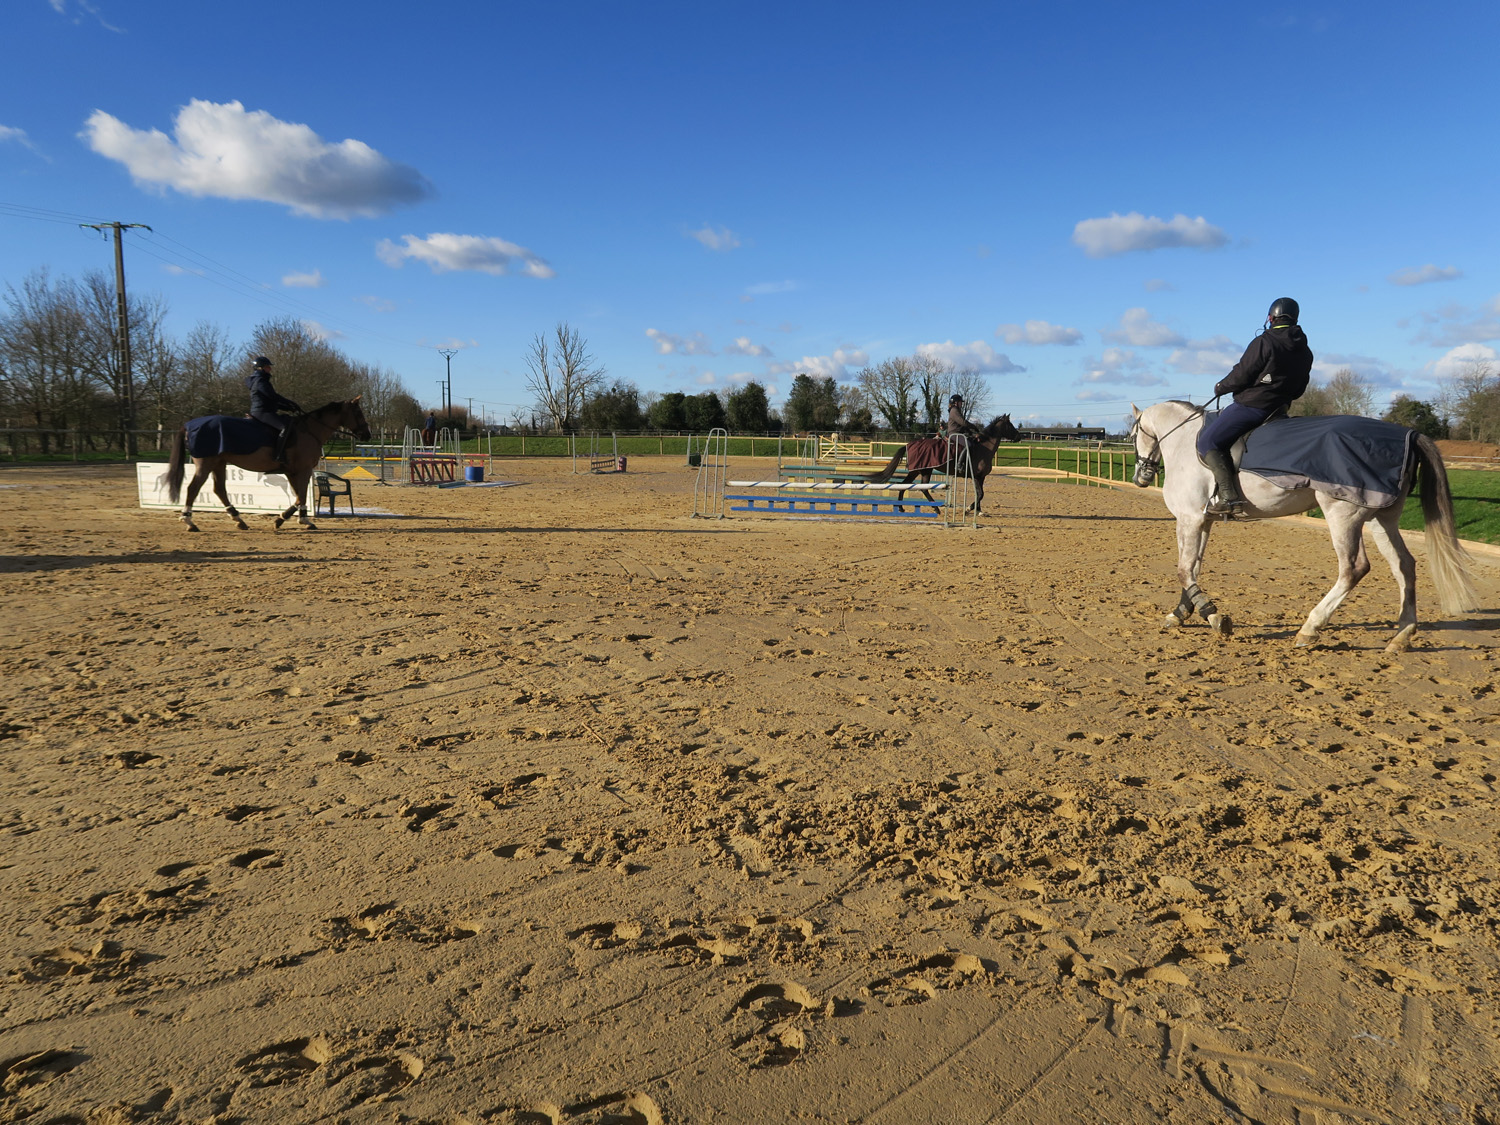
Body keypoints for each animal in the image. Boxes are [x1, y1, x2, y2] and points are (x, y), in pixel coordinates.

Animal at [165, 402, 370, 534]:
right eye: (359, 413)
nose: (367, 435)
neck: (309, 431)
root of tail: (190, 425)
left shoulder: (293, 472)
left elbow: (299, 496)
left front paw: (299, 519)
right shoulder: (303, 470)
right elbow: (301, 496)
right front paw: (285, 519)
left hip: (219, 464)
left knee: (220, 490)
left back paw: (238, 519)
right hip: (206, 464)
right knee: (193, 488)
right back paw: (189, 521)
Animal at [870, 417, 1020, 519]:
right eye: (1010, 425)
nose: (1019, 436)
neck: (983, 447)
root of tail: (909, 444)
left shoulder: (981, 477)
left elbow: (980, 494)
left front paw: (979, 510)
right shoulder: (976, 476)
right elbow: (980, 493)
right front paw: (969, 509)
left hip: (923, 470)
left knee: (914, 486)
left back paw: (905, 508)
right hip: (920, 470)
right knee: (912, 486)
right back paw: (930, 509)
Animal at [1128, 402, 1470, 651]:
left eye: (1132, 436)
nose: (1140, 477)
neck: (1184, 442)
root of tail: (1408, 434)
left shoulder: (1189, 520)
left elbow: (1184, 570)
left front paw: (1214, 618)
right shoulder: (1202, 521)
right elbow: (1193, 569)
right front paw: (1180, 614)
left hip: (1343, 515)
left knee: (1353, 568)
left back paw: (1310, 629)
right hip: (1381, 518)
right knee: (1404, 566)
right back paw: (1402, 636)